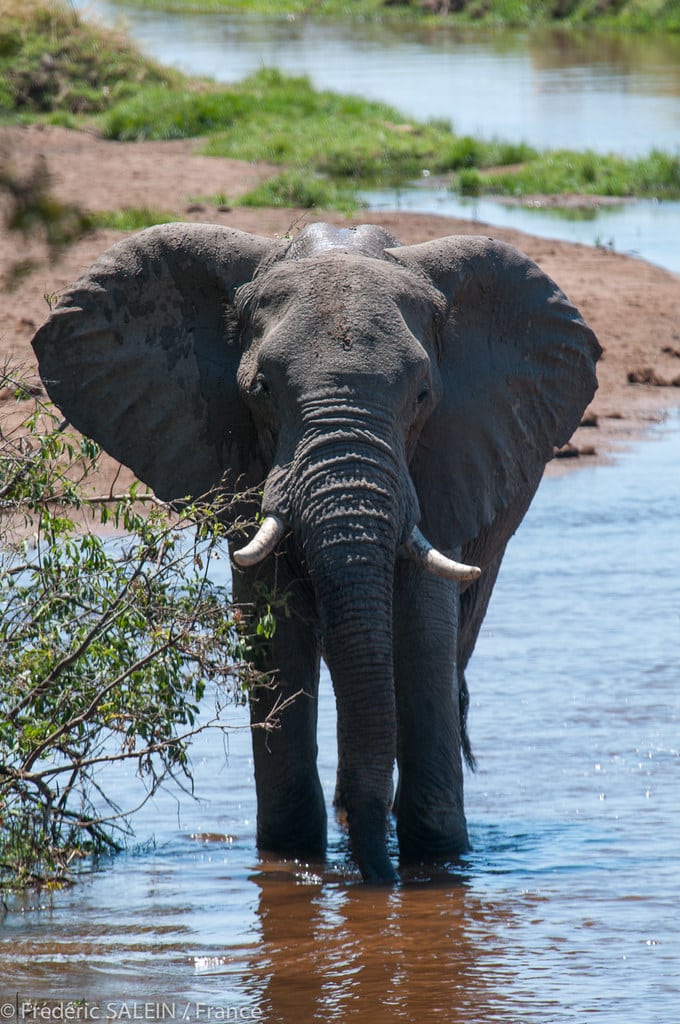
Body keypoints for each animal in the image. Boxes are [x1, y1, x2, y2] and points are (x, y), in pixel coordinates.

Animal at [30, 222, 602, 880]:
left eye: (423, 395)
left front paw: (435, 866)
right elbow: (273, 633)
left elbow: (422, 632)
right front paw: (292, 860)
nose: (378, 881)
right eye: (261, 390)